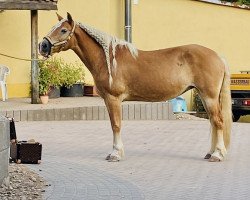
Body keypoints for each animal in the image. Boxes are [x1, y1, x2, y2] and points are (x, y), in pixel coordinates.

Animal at [39, 12, 232, 162]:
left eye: (63, 30)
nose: (43, 46)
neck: (108, 59)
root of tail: (218, 56)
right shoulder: (109, 100)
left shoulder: (113, 99)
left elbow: (116, 125)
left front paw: (115, 154)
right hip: (206, 97)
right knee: (213, 122)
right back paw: (211, 153)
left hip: (209, 96)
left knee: (218, 121)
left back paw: (217, 155)